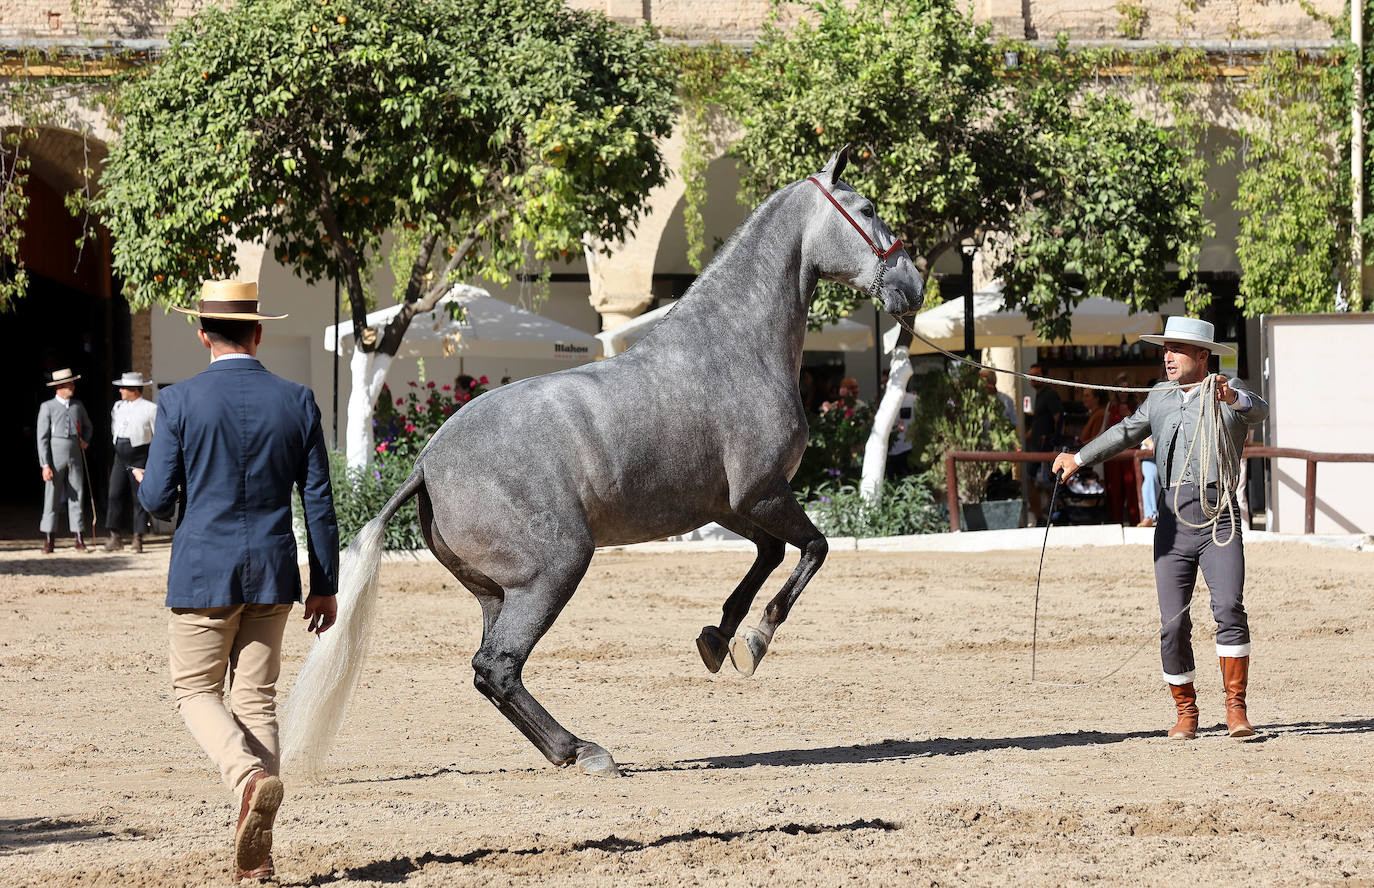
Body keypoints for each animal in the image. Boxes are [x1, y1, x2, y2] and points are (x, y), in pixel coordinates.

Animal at [278, 146, 923, 780]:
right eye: (867, 210)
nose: (912, 287)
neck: (733, 347)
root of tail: (427, 465)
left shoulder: (728, 506)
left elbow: (770, 553)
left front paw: (718, 638)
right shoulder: (763, 493)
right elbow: (813, 547)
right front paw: (753, 643)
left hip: (499, 592)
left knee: (490, 670)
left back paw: (569, 749)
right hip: (556, 568)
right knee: (498, 666)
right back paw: (586, 751)